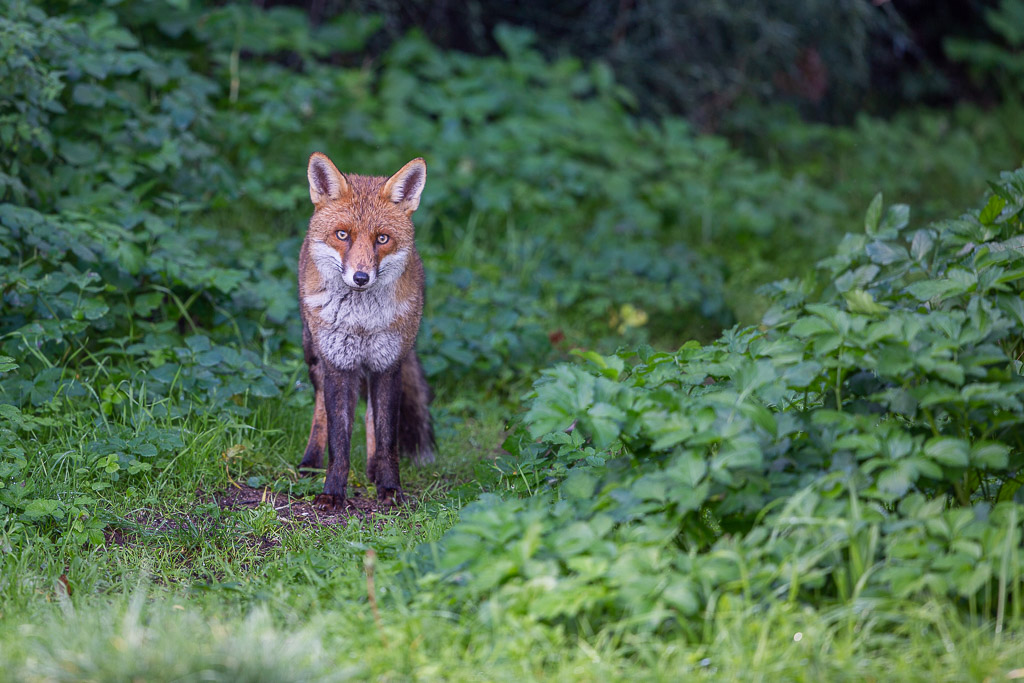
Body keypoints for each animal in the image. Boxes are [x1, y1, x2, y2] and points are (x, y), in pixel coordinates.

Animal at [297, 152, 435, 511]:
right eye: (342, 235)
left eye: (382, 239)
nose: (361, 278)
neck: (361, 322)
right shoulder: (338, 365)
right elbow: (339, 442)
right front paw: (332, 493)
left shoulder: (388, 364)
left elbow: (387, 439)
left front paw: (389, 488)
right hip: (313, 353)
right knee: (320, 410)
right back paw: (310, 462)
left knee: (371, 416)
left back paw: (372, 470)